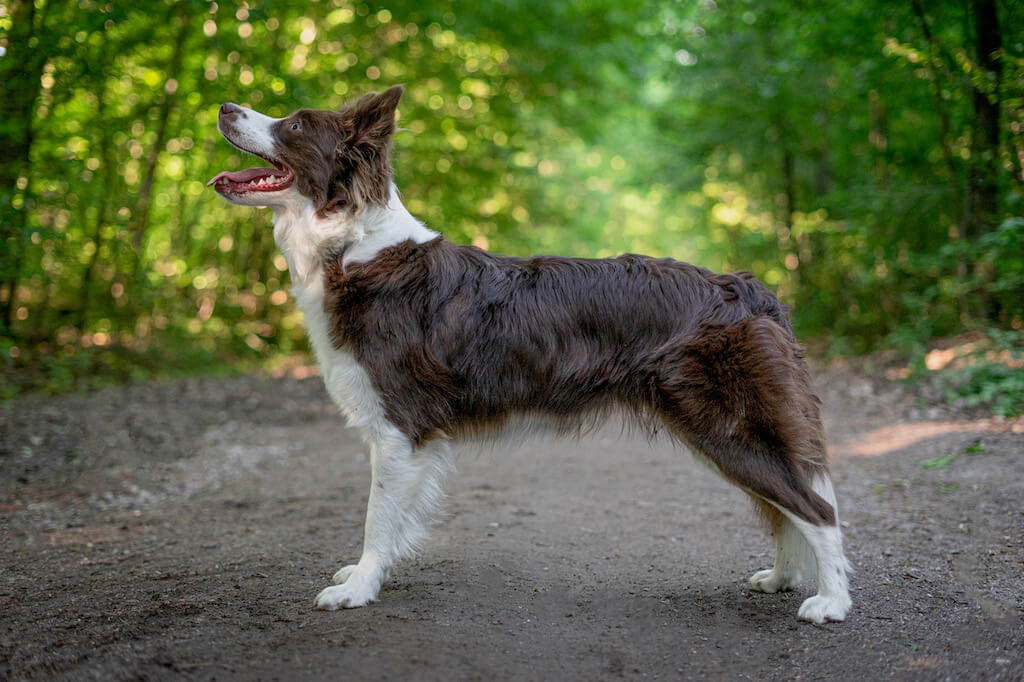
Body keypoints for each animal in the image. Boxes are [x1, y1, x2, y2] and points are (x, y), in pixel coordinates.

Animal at [209, 86, 856, 622]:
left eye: (294, 125)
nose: (223, 107)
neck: (353, 246)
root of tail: (749, 288)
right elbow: (392, 520)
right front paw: (373, 574)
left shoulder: (399, 425)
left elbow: (377, 516)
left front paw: (360, 587)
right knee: (785, 506)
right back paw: (782, 578)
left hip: (723, 426)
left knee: (814, 509)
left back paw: (830, 602)